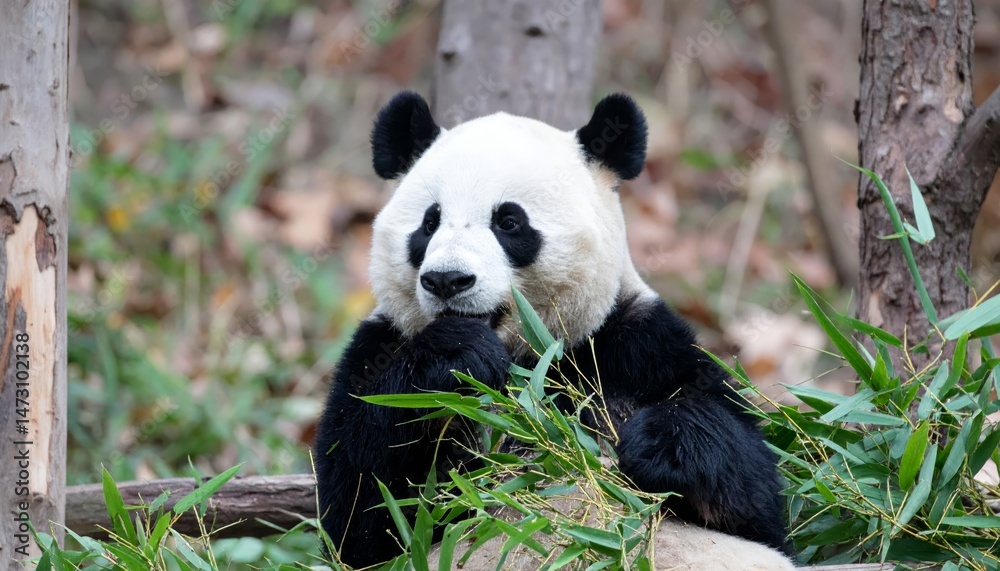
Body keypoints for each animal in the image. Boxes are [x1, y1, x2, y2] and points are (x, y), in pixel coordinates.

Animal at [313, 91, 796, 570]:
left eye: (509, 222)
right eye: (429, 224)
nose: (447, 280)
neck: (531, 360)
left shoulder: (638, 346)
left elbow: (758, 501)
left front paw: (660, 440)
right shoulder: (379, 348)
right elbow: (360, 514)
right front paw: (456, 355)